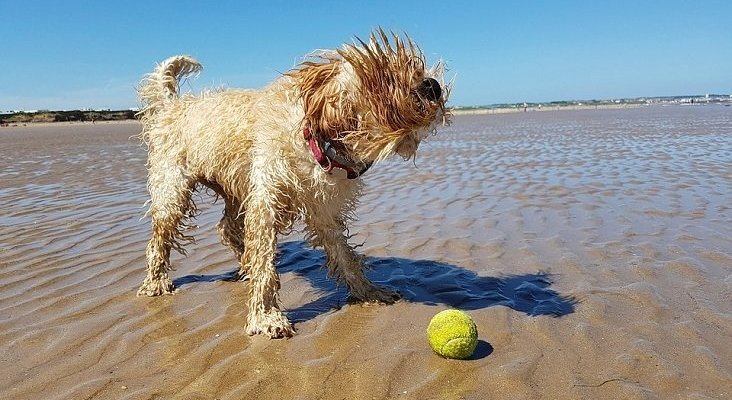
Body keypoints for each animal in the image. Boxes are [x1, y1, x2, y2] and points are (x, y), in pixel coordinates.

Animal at [134, 29, 448, 340]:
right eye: (386, 76)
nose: (432, 85)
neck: (317, 144)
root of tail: (173, 105)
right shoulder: (266, 201)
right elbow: (264, 260)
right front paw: (266, 316)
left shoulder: (323, 210)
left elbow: (344, 255)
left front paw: (367, 291)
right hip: (173, 190)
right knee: (161, 237)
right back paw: (156, 282)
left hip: (236, 187)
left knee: (226, 227)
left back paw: (242, 262)